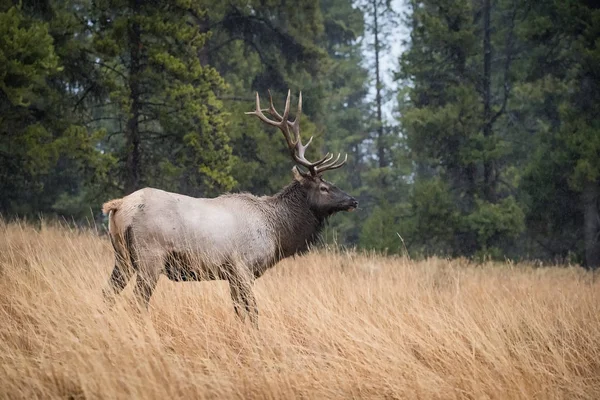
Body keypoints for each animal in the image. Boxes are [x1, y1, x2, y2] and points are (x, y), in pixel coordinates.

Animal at [101, 89, 358, 324]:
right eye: (324, 187)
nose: (353, 201)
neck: (277, 232)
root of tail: (119, 206)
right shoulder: (243, 267)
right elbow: (252, 312)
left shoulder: (232, 275)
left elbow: (239, 312)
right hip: (150, 256)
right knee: (137, 301)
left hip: (122, 256)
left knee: (108, 293)